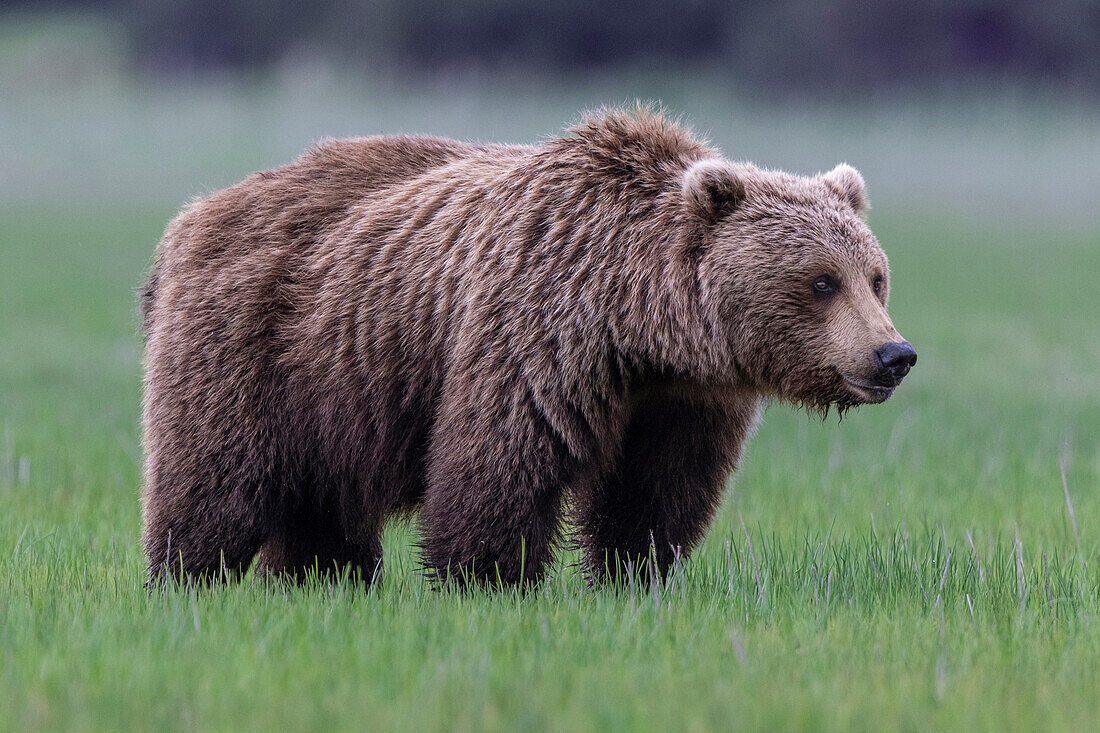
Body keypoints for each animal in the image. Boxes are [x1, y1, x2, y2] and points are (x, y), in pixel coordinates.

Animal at [137, 107, 915, 589]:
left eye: (875, 276)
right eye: (821, 280)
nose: (893, 355)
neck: (639, 326)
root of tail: (190, 217)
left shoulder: (682, 399)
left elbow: (656, 492)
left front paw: (635, 572)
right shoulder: (535, 331)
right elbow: (500, 463)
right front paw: (487, 576)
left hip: (333, 386)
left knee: (321, 501)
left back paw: (324, 578)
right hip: (259, 341)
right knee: (216, 479)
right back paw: (186, 576)